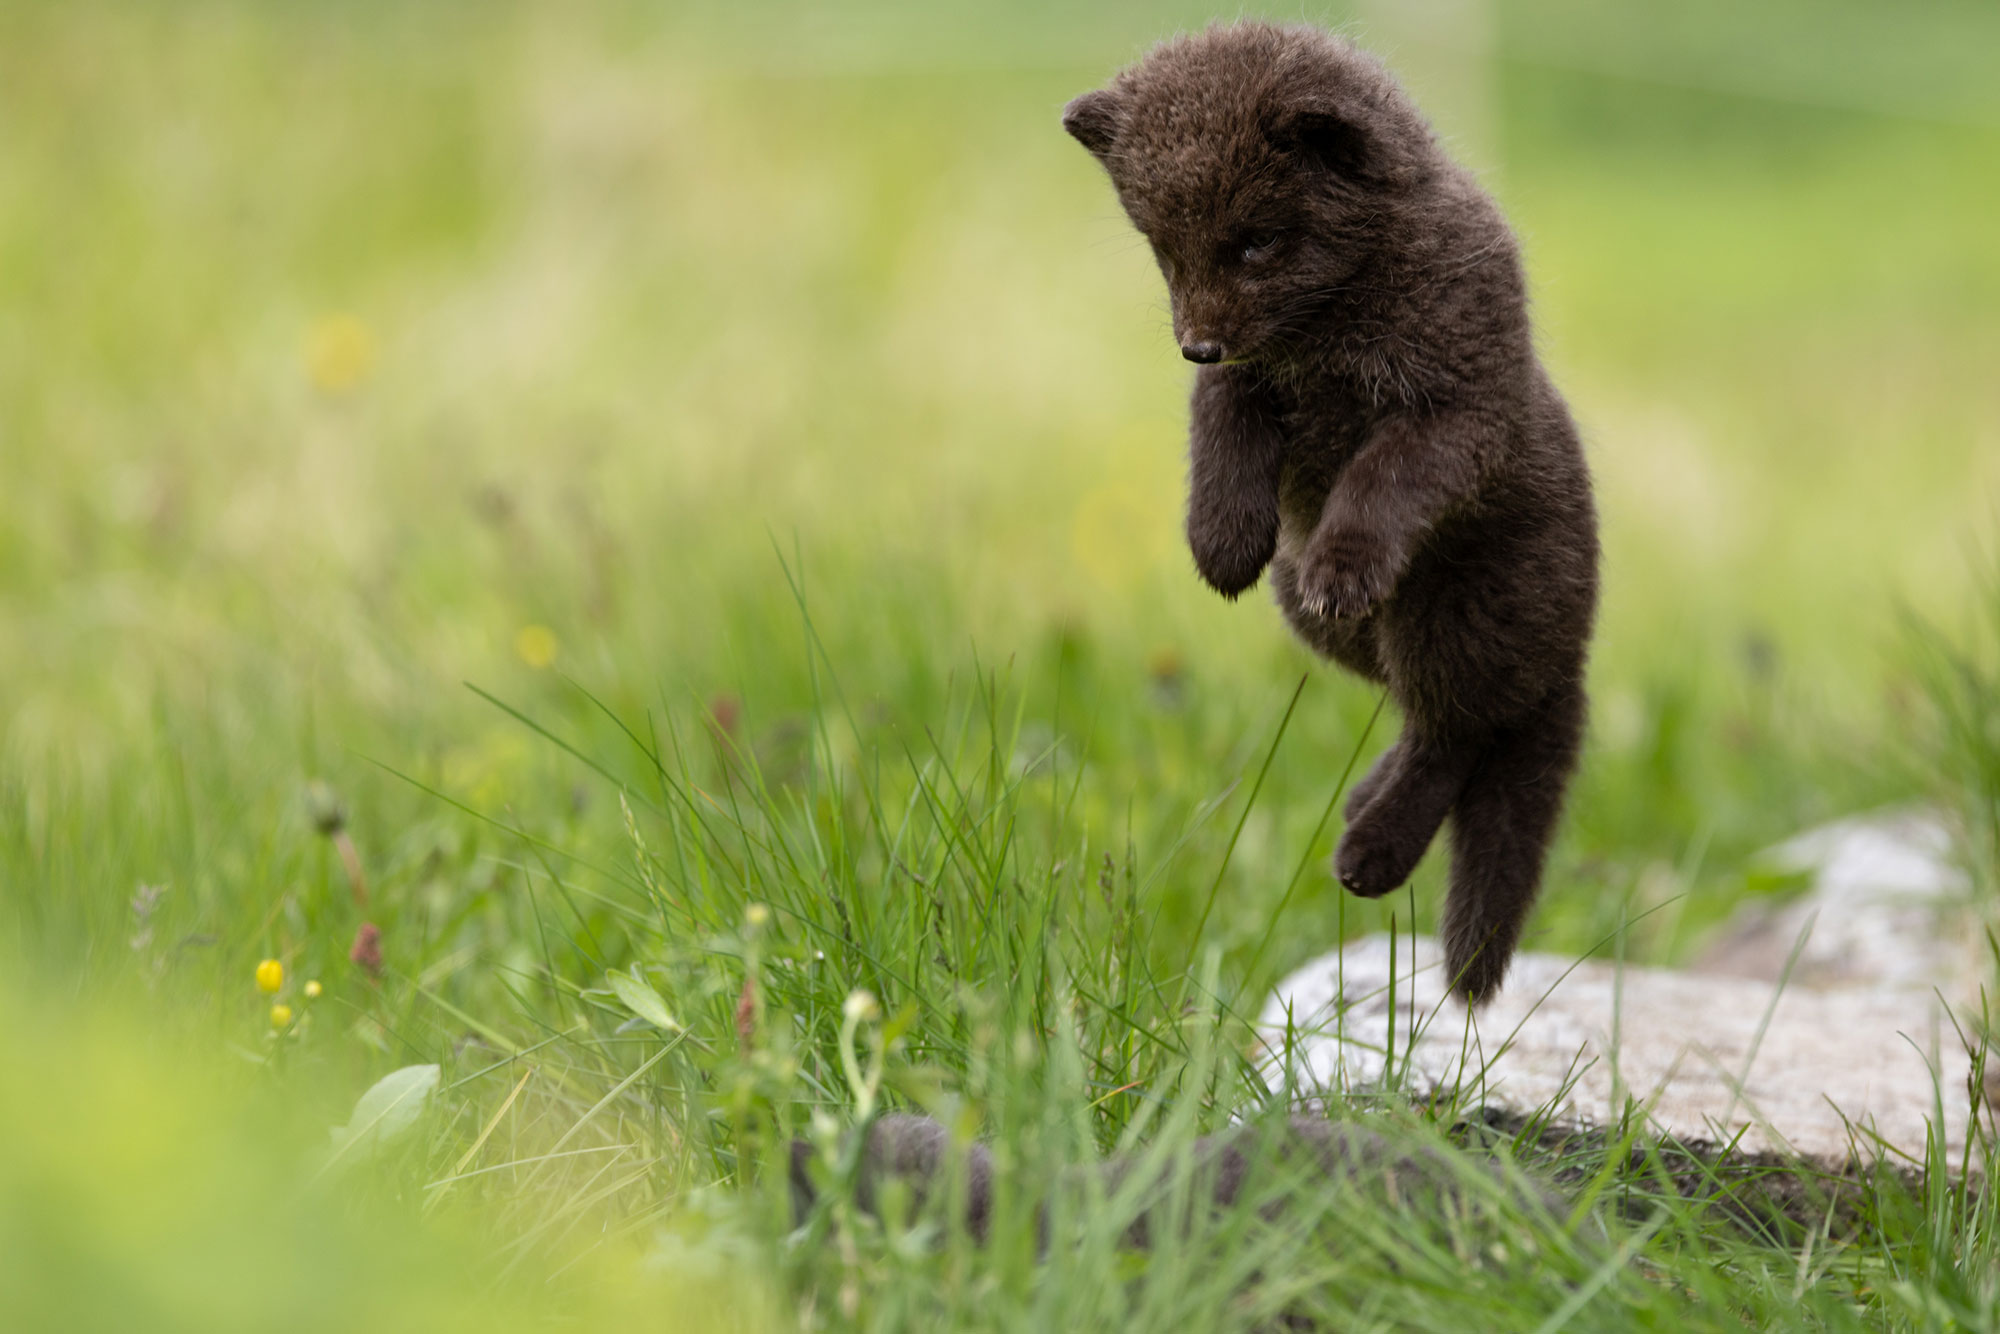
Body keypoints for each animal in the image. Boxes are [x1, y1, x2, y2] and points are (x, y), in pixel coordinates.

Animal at [1063, 23, 1599, 1002]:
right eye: (1166, 250)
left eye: (1258, 243)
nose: (1195, 343)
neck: (1331, 325)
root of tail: (1568, 661)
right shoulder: (1246, 383)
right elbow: (1219, 448)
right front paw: (1221, 544)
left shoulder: (1449, 412)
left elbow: (1377, 484)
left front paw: (1344, 561)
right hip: (1324, 624)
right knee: (1435, 718)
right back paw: (1359, 803)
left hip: (1449, 612)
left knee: (1458, 732)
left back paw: (1370, 854)